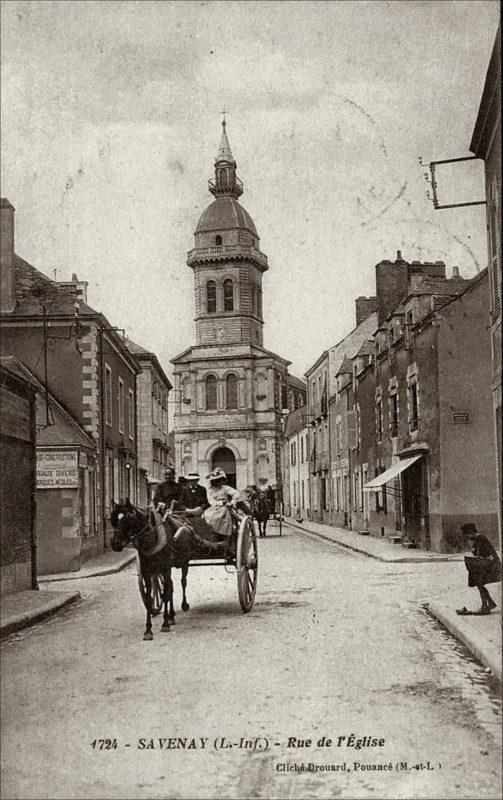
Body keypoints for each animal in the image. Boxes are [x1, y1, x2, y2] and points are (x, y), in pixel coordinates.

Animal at [110, 496, 193, 640]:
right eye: (113, 518)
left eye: (128, 518)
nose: (115, 544)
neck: (151, 537)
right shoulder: (147, 572)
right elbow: (149, 599)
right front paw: (148, 630)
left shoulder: (165, 568)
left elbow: (164, 594)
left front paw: (165, 624)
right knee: (170, 586)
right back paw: (171, 615)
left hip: (183, 562)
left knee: (183, 582)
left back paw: (183, 605)